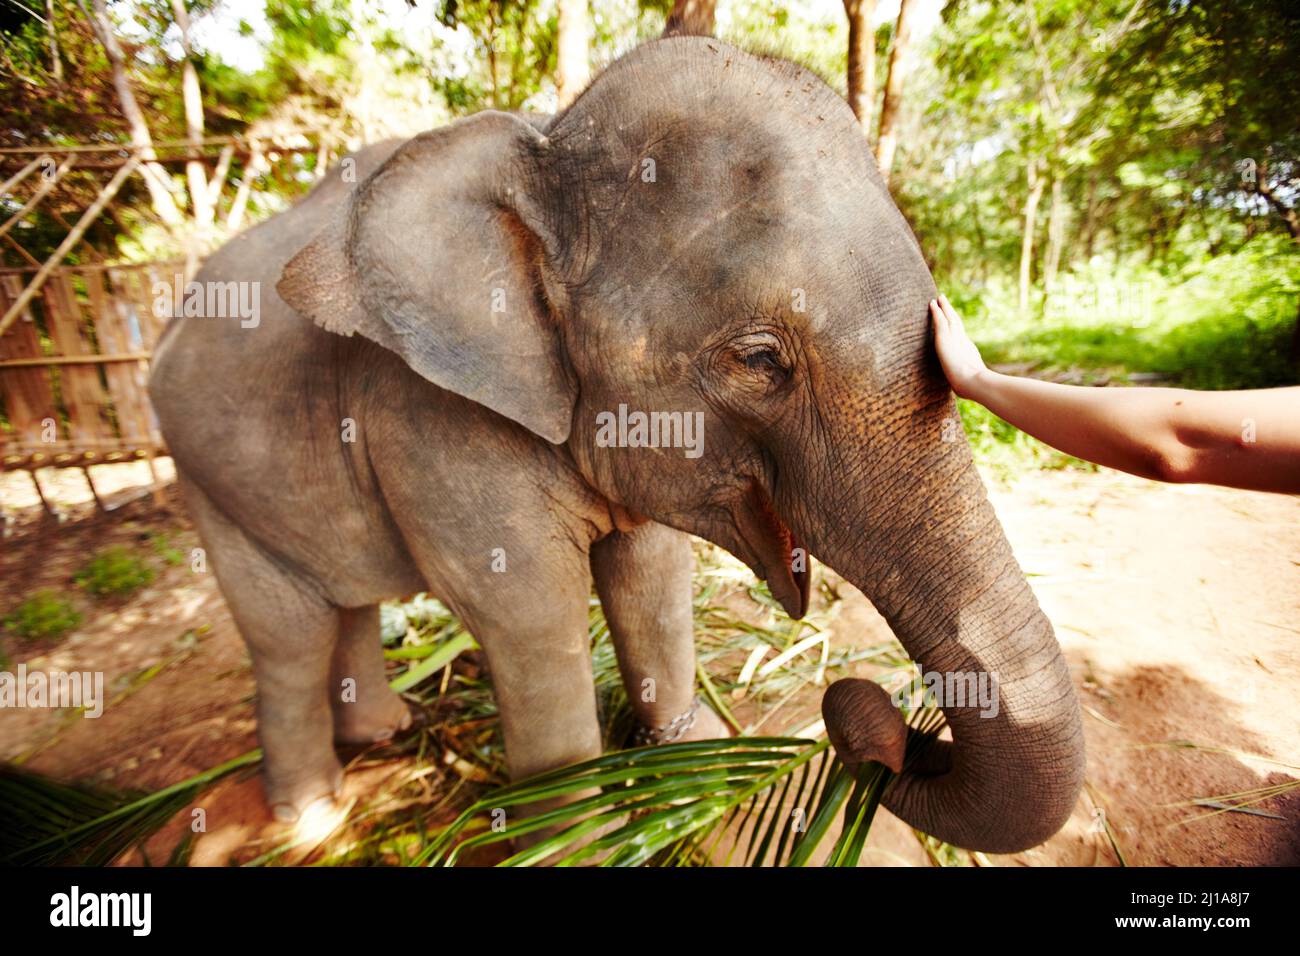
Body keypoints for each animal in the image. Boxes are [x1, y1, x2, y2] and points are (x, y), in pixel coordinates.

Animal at [149, 35, 1086, 853]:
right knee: (288, 634)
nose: (855, 709)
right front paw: (570, 846)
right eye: (760, 361)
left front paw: (689, 765)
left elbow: (652, 576)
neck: (548, 138)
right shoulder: (427, 418)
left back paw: (385, 731)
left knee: (345, 600)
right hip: (204, 479)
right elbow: (530, 618)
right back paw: (312, 815)